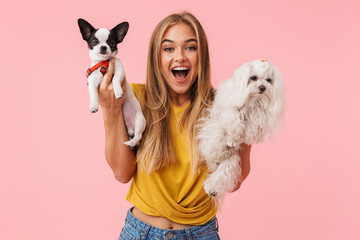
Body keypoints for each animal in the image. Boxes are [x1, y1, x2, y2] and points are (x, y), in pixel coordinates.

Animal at [197, 59, 284, 200]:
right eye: (253, 77)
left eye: (269, 80)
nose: (262, 87)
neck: (253, 101)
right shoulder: (228, 108)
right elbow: (234, 117)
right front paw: (234, 133)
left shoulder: (259, 119)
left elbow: (250, 127)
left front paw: (238, 136)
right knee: (215, 144)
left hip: (232, 159)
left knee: (223, 171)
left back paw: (213, 188)